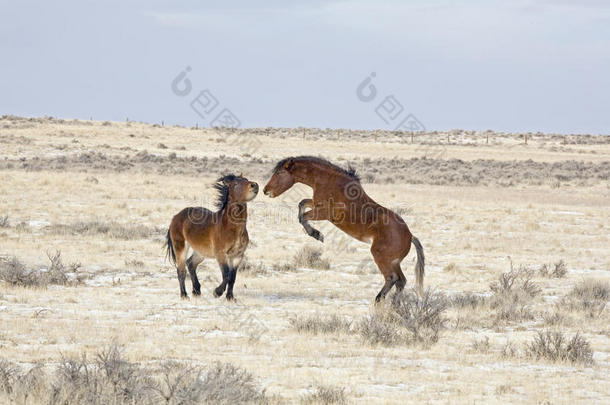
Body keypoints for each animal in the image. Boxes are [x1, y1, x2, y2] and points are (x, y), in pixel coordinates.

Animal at [262, 156, 422, 302]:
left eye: (280, 173)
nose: (265, 190)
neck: (327, 181)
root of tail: (410, 236)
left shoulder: (325, 213)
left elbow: (303, 216)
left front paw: (317, 234)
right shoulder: (316, 204)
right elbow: (302, 204)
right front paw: (316, 234)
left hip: (381, 256)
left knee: (392, 278)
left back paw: (379, 299)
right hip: (395, 262)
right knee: (401, 281)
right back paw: (394, 303)